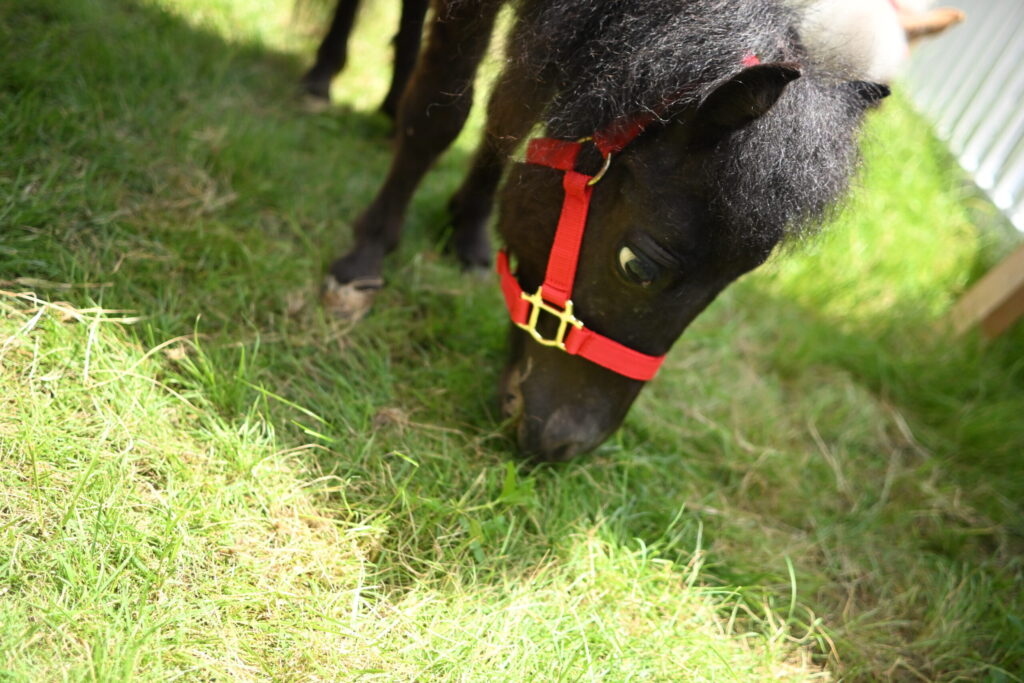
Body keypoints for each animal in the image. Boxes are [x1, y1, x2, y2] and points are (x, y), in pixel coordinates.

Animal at [319, 0, 894, 461]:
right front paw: (367, 255)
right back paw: (322, 77)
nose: (571, 443)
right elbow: (441, 109)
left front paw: (468, 233)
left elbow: (510, 110)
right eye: (637, 266)